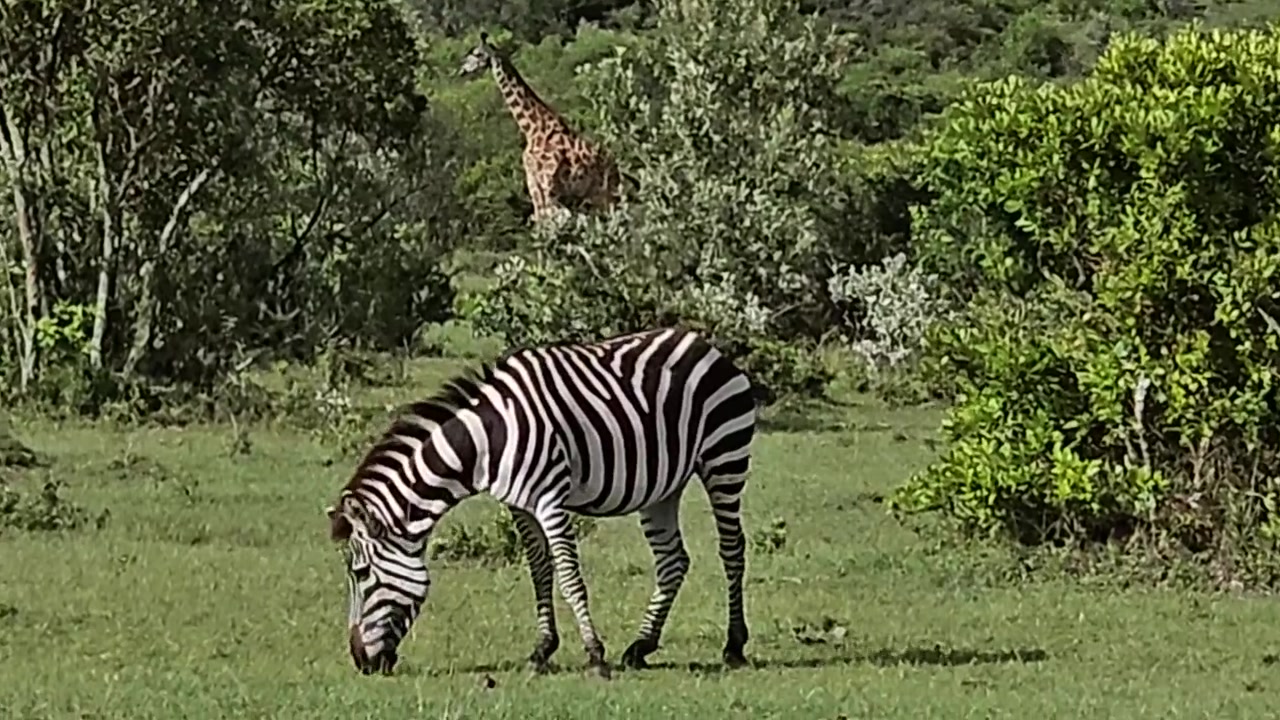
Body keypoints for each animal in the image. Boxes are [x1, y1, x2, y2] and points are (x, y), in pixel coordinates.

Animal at [326, 327, 758, 677]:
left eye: (360, 574)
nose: (361, 662)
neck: (488, 438)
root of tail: (701, 343)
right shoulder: (520, 504)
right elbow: (540, 571)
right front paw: (542, 650)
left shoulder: (550, 498)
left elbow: (569, 576)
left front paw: (595, 654)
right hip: (663, 487)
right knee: (673, 560)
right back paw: (641, 646)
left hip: (724, 456)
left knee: (732, 548)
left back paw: (734, 645)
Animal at [459, 33, 638, 223]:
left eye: (477, 53)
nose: (462, 69)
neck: (532, 128)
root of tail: (616, 165)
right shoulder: (540, 187)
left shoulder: (544, 187)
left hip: (605, 193)